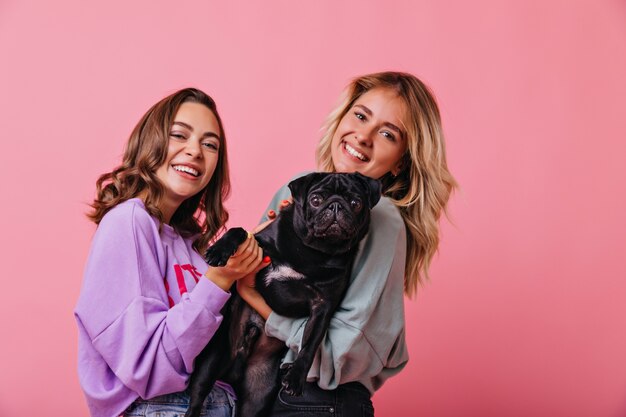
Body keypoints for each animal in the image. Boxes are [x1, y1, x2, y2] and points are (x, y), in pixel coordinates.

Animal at [184, 171, 380, 416]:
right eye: (316, 200)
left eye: (355, 203)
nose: (335, 206)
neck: (313, 251)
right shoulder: (258, 242)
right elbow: (239, 231)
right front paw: (219, 250)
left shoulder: (322, 307)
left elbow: (309, 347)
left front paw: (296, 378)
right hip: (210, 362)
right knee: (198, 396)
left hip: (256, 399)